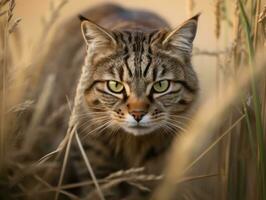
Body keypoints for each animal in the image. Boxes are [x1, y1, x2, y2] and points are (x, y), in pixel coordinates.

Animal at [30, 3, 198, 200]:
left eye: (161, 85)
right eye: (115, 86)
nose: (138, 114)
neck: (132, 143)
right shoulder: (91, 152)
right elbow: (103, 189)